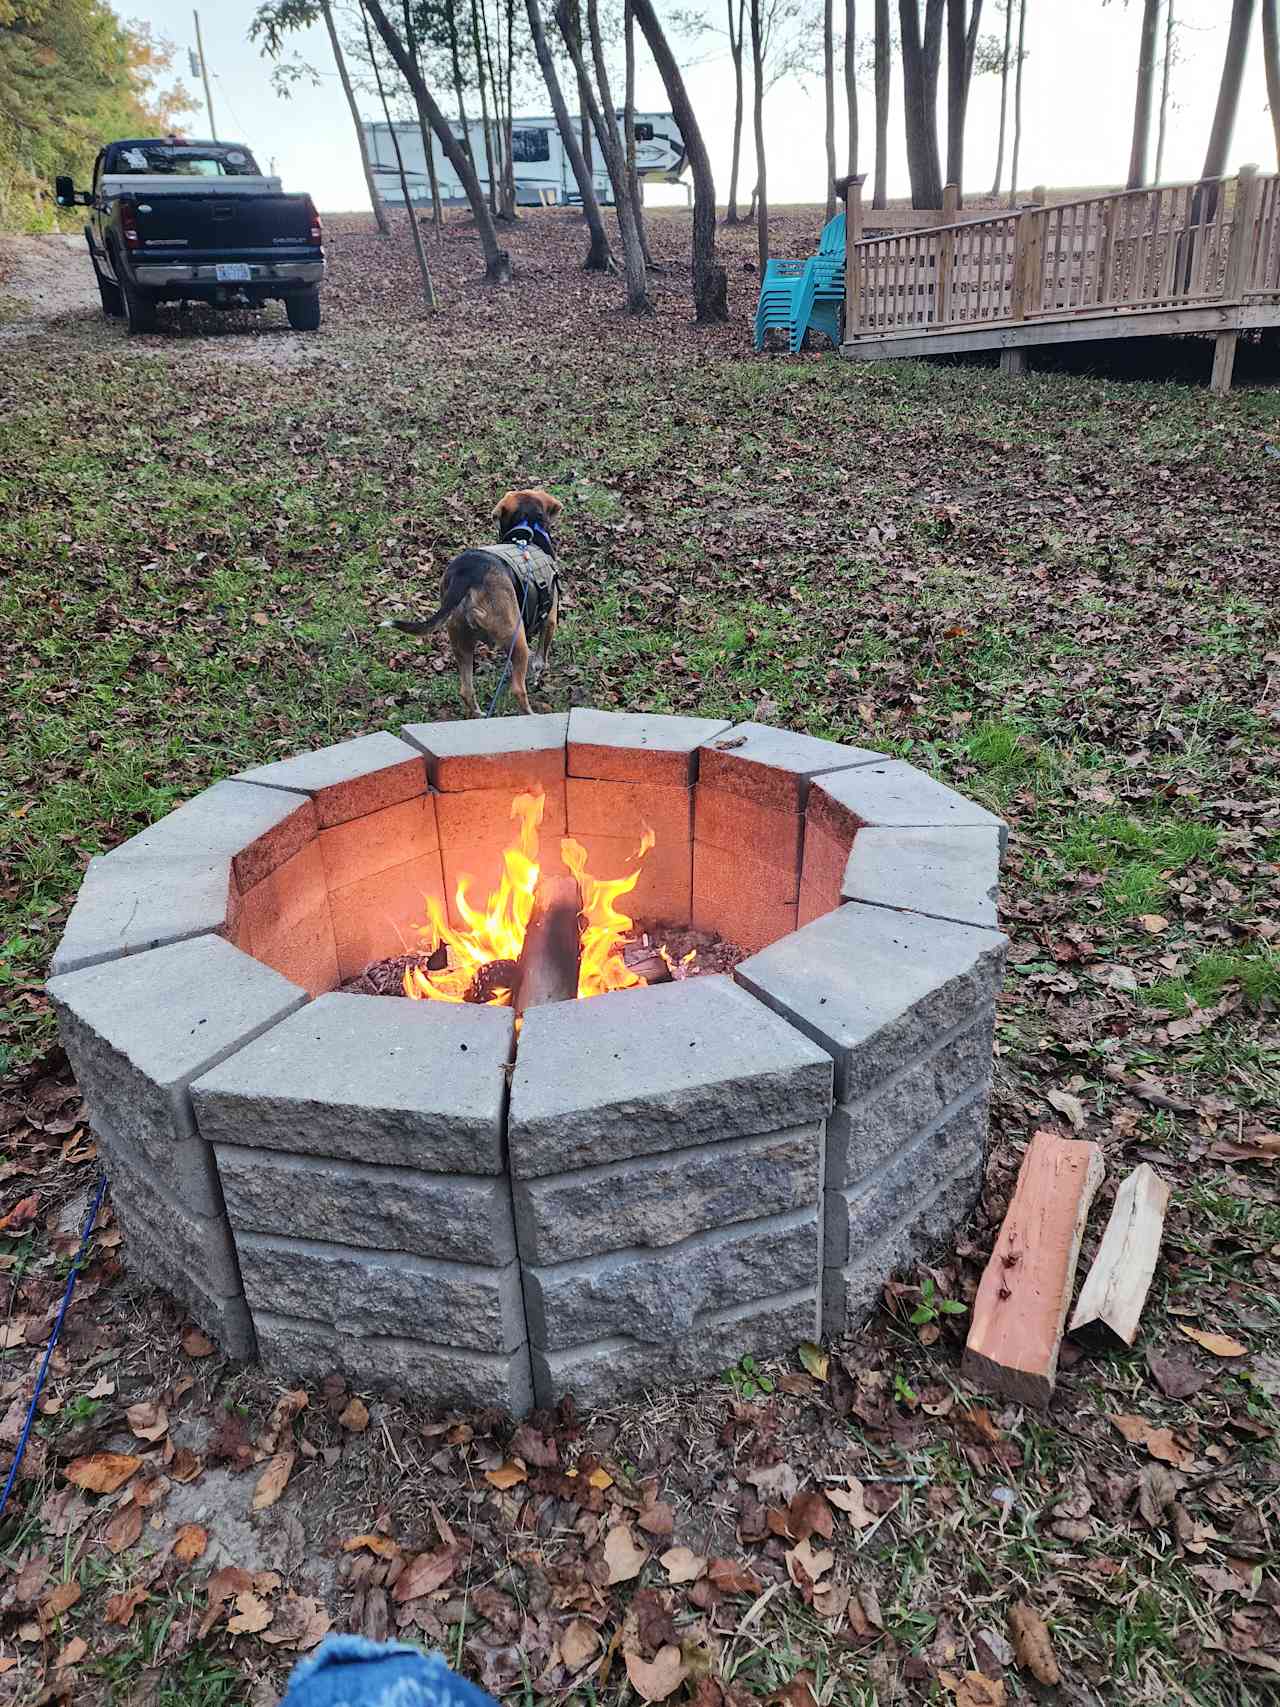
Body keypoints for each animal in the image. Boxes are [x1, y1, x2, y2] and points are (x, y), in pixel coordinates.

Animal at [380, 488, 559, 713]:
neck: (527, 528)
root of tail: (467, 574)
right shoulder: (550, 620)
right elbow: (540, 659)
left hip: (460, 639)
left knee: (465, 690)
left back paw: (478, 713)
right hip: (516, 638)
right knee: (518, 689)